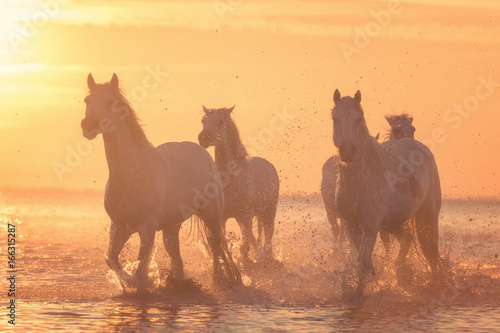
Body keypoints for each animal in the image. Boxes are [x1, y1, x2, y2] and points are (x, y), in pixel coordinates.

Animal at [80, 73, 240, 290]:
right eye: (87, 101)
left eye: (110, 102)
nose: (88, 125)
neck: (131, 175)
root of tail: (202, 152)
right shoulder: (119, 226)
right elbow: (111, 258)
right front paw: (127, 284)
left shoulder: (147, 228)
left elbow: (141, 267)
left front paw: (139, 284)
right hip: (171, 227)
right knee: (178, 258)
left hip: (212, 217)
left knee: (217, 247)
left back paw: (226, 279)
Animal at [330, 89, 444, 294]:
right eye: (335, 118)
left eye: (358, 118)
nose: (347, 152)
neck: (358, 181)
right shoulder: (352, 226)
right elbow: (360, 257)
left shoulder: (370, 227)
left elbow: (363, 259)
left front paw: (361, 291)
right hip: (391, 223)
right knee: (407, 239)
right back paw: (402, 273)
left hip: (427, 217)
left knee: (430, 250)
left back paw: (435, 283)